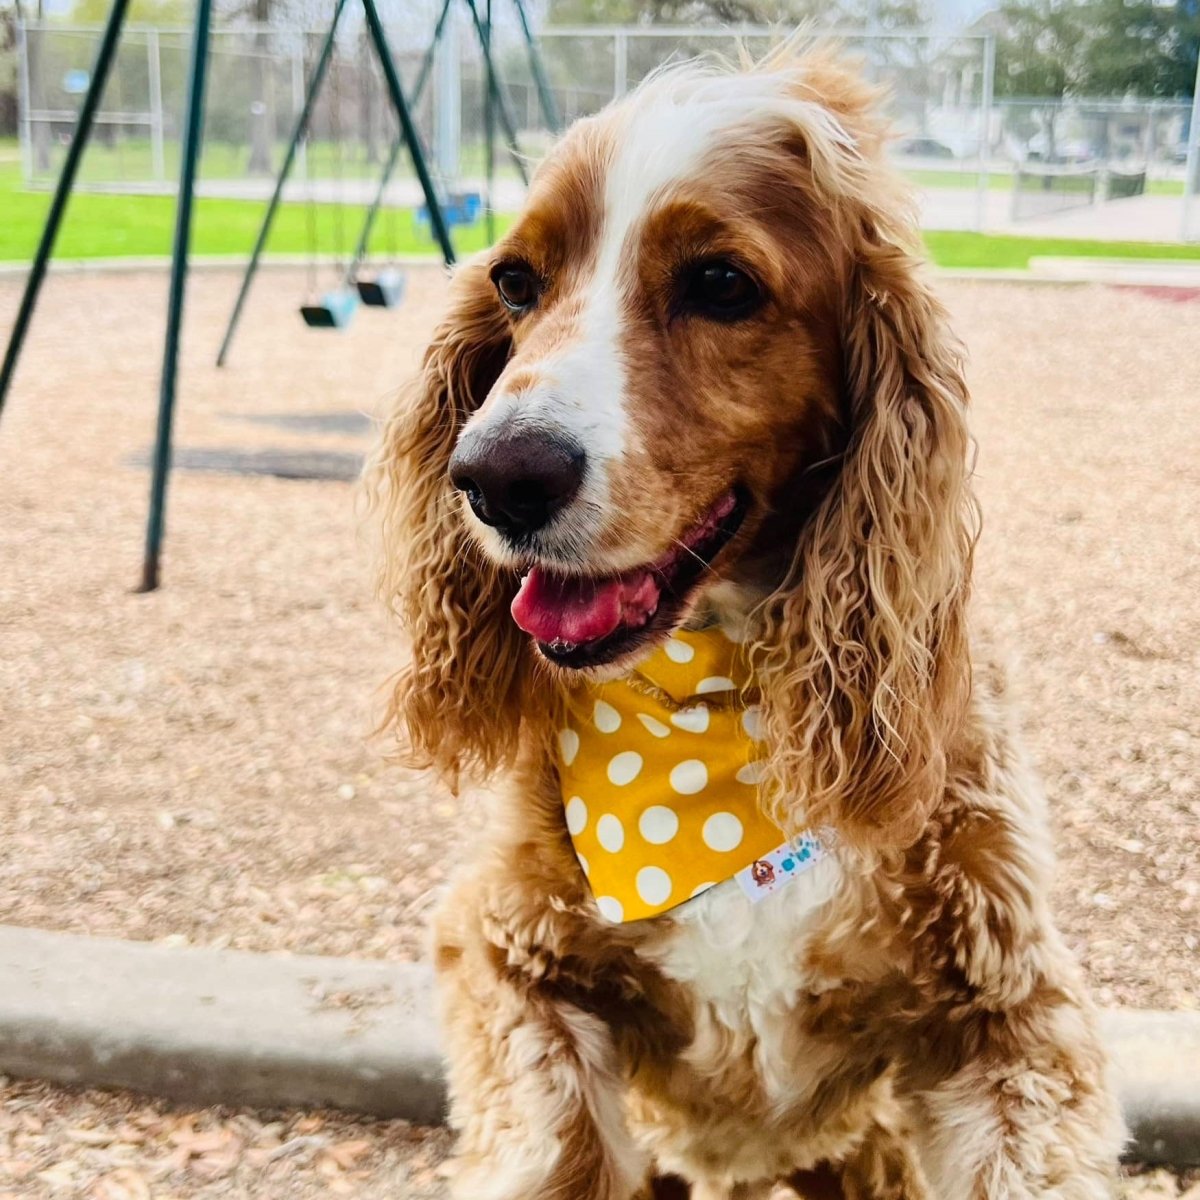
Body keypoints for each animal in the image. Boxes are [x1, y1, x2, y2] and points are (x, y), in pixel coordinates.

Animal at [367, 42, 1123, 1195]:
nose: (493, 476)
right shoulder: (508, 953)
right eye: (515, 281)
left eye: (720, 284)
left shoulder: (1009, 1016)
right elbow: (555, 1140)